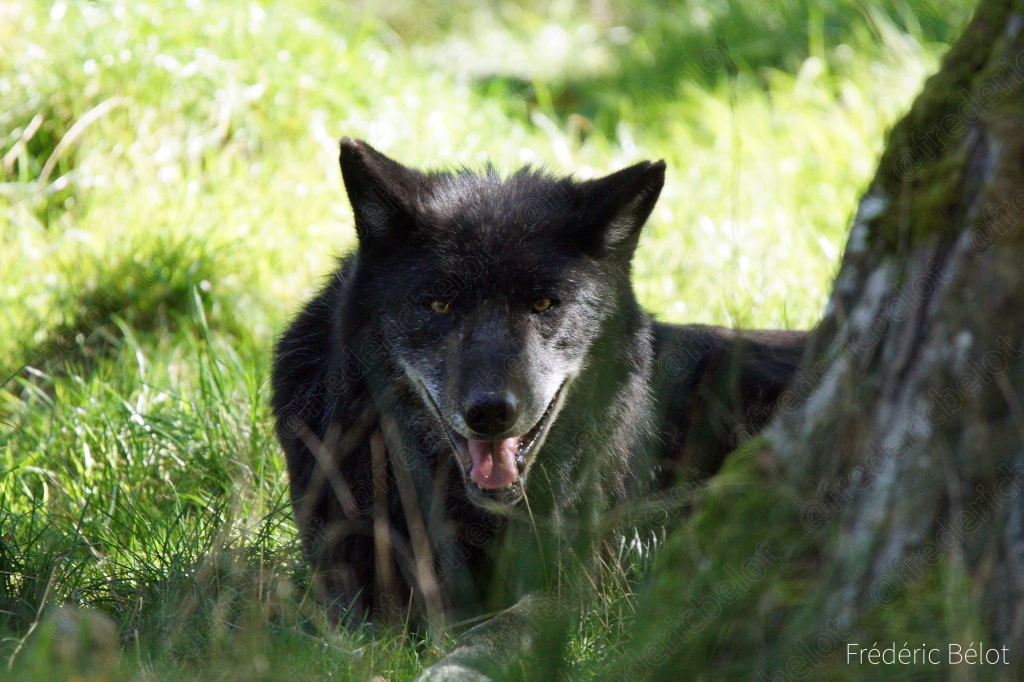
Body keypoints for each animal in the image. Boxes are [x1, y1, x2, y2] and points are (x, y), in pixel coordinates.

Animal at [271, 138, 807, 680]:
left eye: (544, 304)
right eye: (439, 305)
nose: (491, 412)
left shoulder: (582, 583)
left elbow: (504, 628)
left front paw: (455, 667)